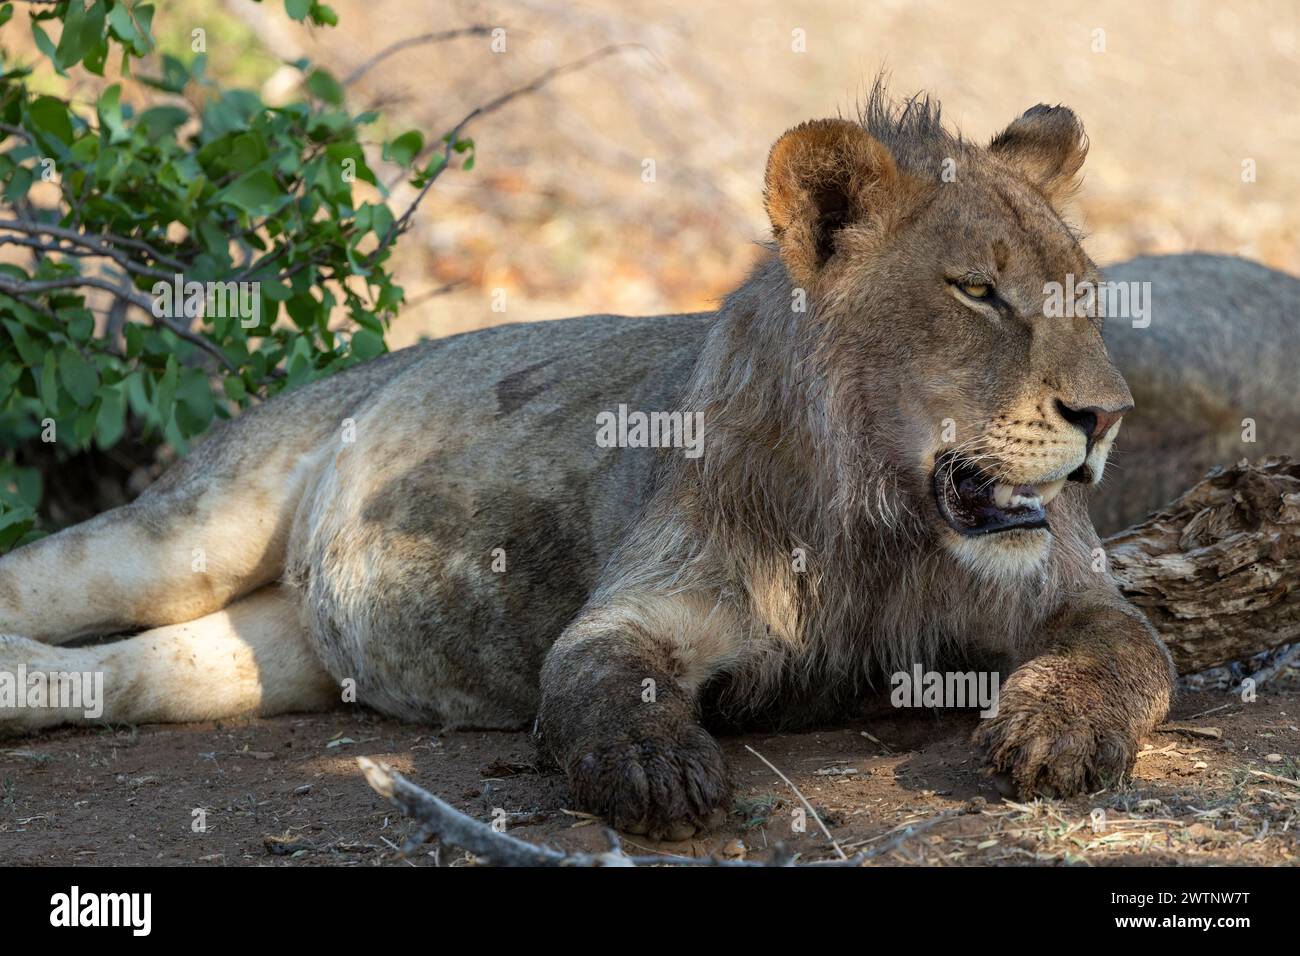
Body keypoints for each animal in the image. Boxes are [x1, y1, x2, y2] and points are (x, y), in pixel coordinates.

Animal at [2, 85, 1300, 842]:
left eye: (1084, 290)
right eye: (977, 291)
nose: (1107, 415)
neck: (878, 516)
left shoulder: (1068, 592)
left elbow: (1125, 659)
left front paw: (1054, 737)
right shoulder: (638, 604)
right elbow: (603, 681)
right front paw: (659, 772)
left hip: (268, 657)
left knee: (120, 676)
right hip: (195, 526)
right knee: (49, 571)